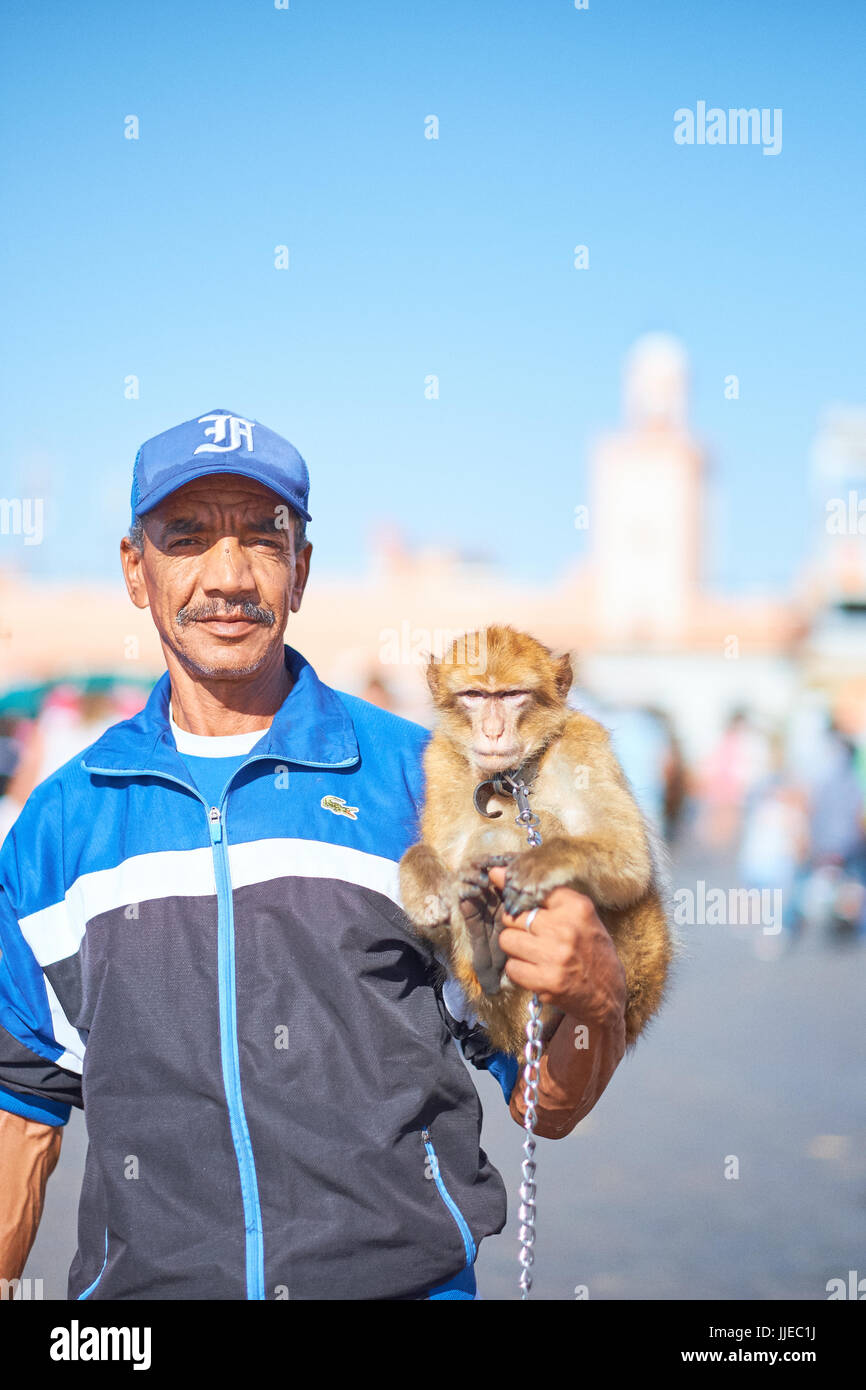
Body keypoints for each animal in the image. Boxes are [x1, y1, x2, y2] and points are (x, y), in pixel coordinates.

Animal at [400, 625, 678, 1056]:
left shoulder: (584, 744)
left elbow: (630, 861)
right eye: (474, 695)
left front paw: (543, 864)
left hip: (640, 966)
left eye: (512, 695)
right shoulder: (441, 759)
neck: (510, 780)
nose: (493, 731)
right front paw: (430, 886)